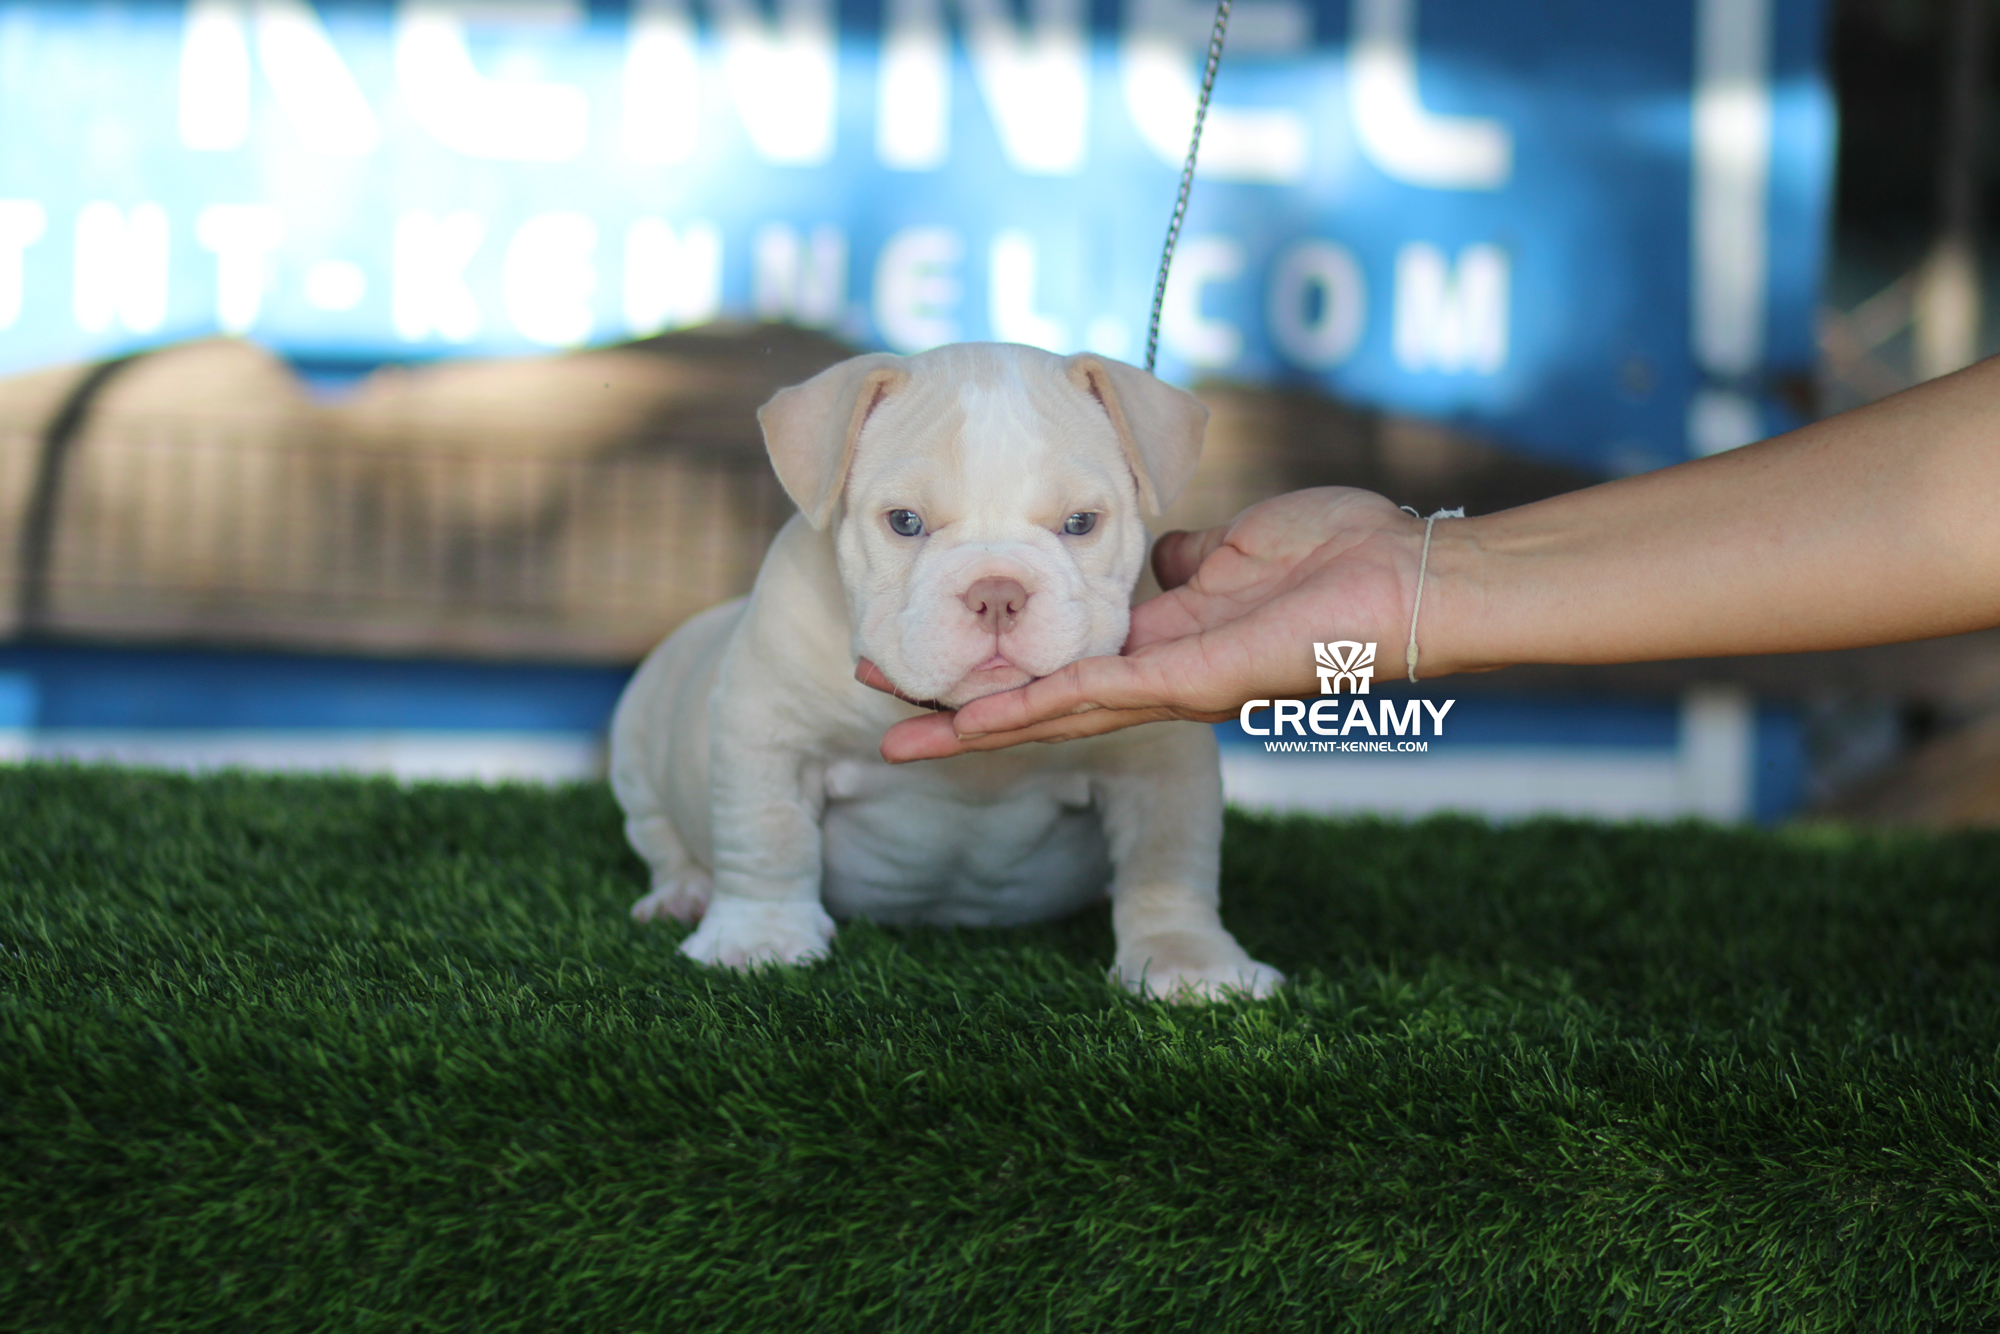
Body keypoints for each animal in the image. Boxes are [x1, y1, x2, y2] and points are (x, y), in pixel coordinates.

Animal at [608, 342, 1283, 1002]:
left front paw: (1190, 963)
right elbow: (766, 835)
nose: (997, 593)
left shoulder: (1159, 761)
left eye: (1081, 523)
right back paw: (682, 893)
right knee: (660, 835)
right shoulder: (769, 732)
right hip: (639, 742)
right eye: (905, 522)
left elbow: (1169, 862)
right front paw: (759, 940)